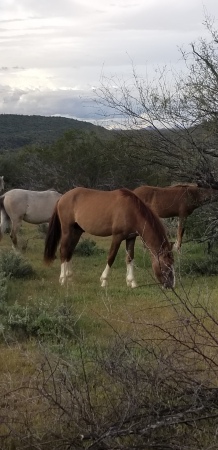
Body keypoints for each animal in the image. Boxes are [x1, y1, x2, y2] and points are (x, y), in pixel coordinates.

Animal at [43, 186, 175, 288]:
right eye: (167, 265)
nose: (171, 285)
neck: (132, 211)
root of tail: (62, 197)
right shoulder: (117, 237)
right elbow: (111, 257)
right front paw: (104, 280)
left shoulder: (131, 238)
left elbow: (130, 258)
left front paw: (131, 282)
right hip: (67, 230)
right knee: (64, 250)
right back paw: (63, 278)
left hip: (77, 231)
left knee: (70, 251)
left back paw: (69, 277)